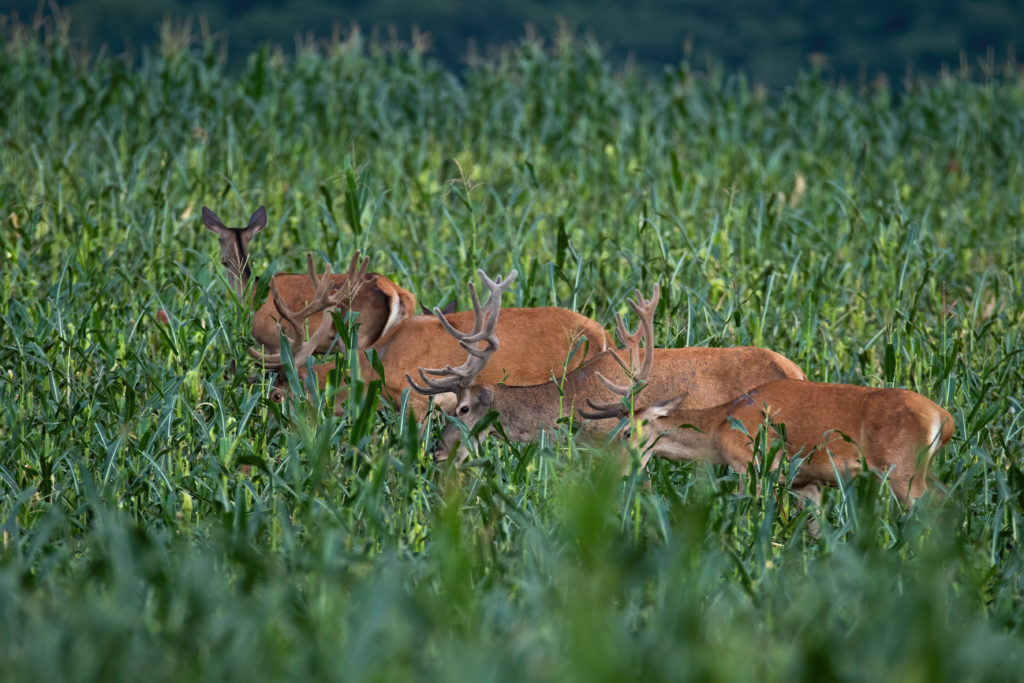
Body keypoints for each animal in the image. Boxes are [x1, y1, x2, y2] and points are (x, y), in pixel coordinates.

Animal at [202, 205, 415, 350]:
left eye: (219, 239)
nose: (222, 261)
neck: (250, 290)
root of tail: (397, 293)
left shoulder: (272, 341)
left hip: (358, 336)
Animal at [589, 376, 954, 505]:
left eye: (626, 432)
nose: (610, 474)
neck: (720, 423)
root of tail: (944, 417)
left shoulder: (749, 464)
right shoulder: (805, 481)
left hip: (902, 471)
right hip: (923, 469)